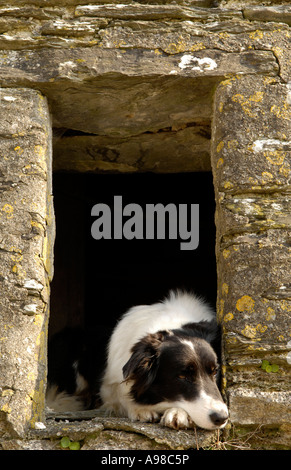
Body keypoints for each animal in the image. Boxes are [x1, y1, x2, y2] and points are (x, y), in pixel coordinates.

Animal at [46, 290, 229, 430]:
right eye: (182, 376)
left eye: (215, 371)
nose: (221, 418)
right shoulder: (109, 385)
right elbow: (122, 394)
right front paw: (141, 409)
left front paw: (178, 412)